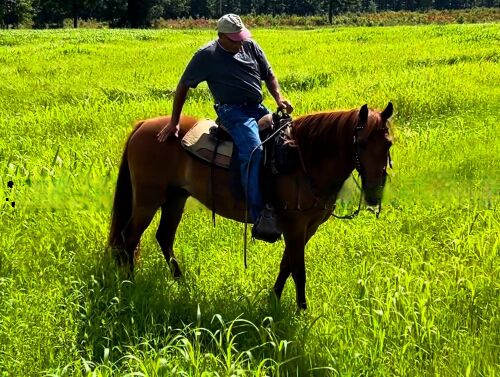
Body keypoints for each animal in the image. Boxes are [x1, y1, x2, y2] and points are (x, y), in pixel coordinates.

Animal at [107, 102, 392, 308]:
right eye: (361, 143)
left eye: (388, 143)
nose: (374, 193)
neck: (304, 159)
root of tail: (145, 125)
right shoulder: (294, 225)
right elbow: (298, 269)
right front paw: (301, 312)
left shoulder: (308, 227)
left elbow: (287, 264)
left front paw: (273, 300)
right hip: (147, 199)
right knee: (129, 239)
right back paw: (130, 284)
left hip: (175, 198)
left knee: (164, 236)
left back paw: (181, 282)